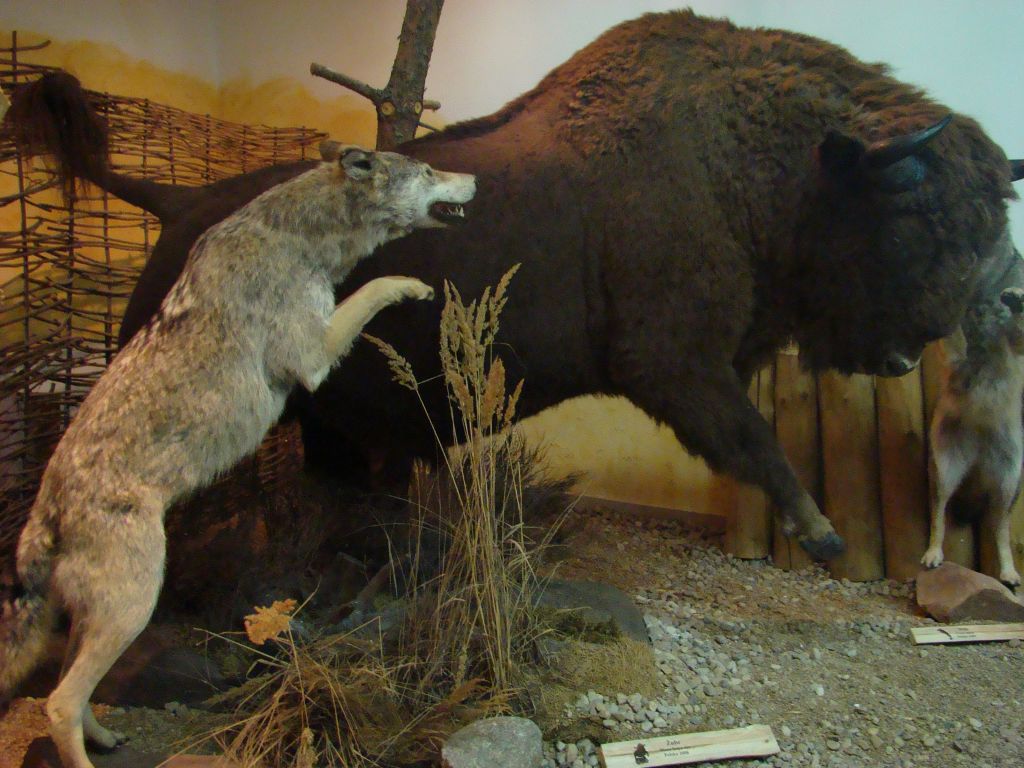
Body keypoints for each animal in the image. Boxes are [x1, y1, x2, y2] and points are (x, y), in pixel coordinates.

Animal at [7, 10, 1022, 560]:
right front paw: (822, 534)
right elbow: (754, 439)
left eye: (991, 218)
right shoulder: (673, 365)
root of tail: (182, 200)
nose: (914, 351)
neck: (762, 162)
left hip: (321, 414)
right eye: (916, 214)